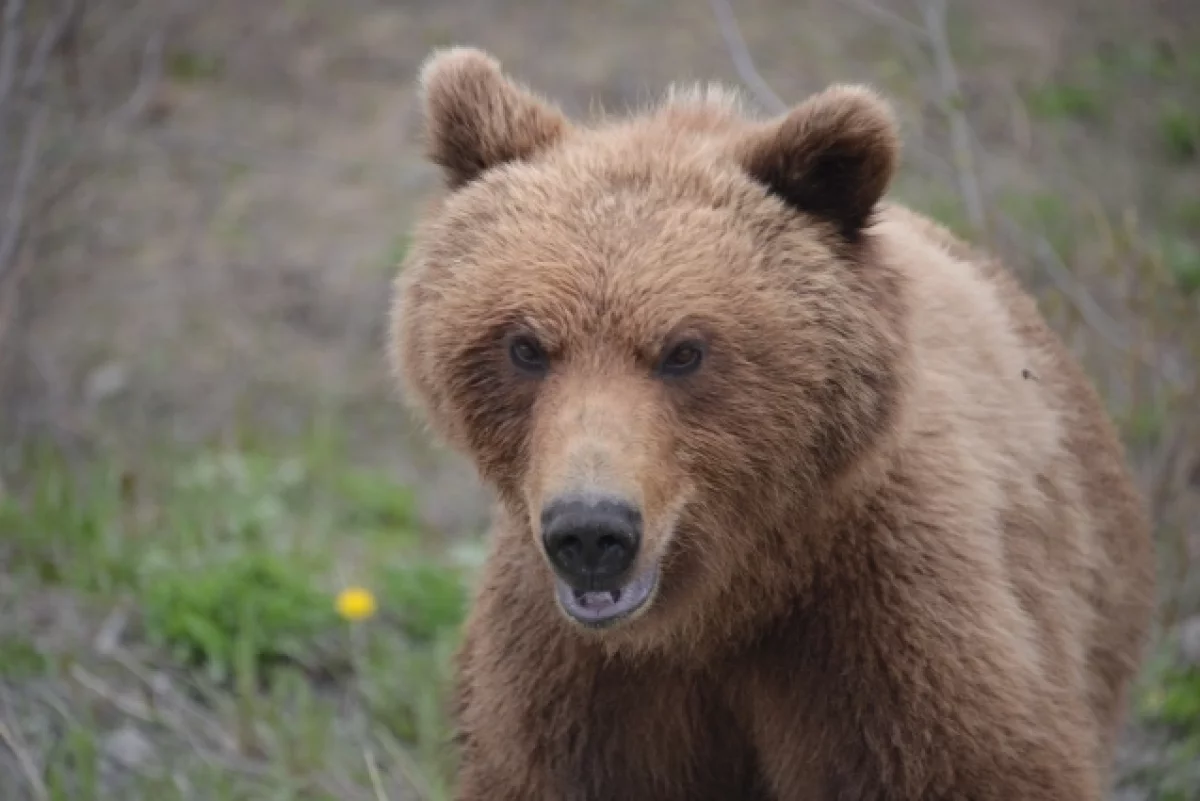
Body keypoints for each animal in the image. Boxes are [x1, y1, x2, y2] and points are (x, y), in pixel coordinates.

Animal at [388, 45, 1156, 801]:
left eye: (684, 350)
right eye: (526, 345)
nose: (591, 531)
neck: (719, 607)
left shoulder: (893, 630)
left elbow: (972, 765)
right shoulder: (574, 686)